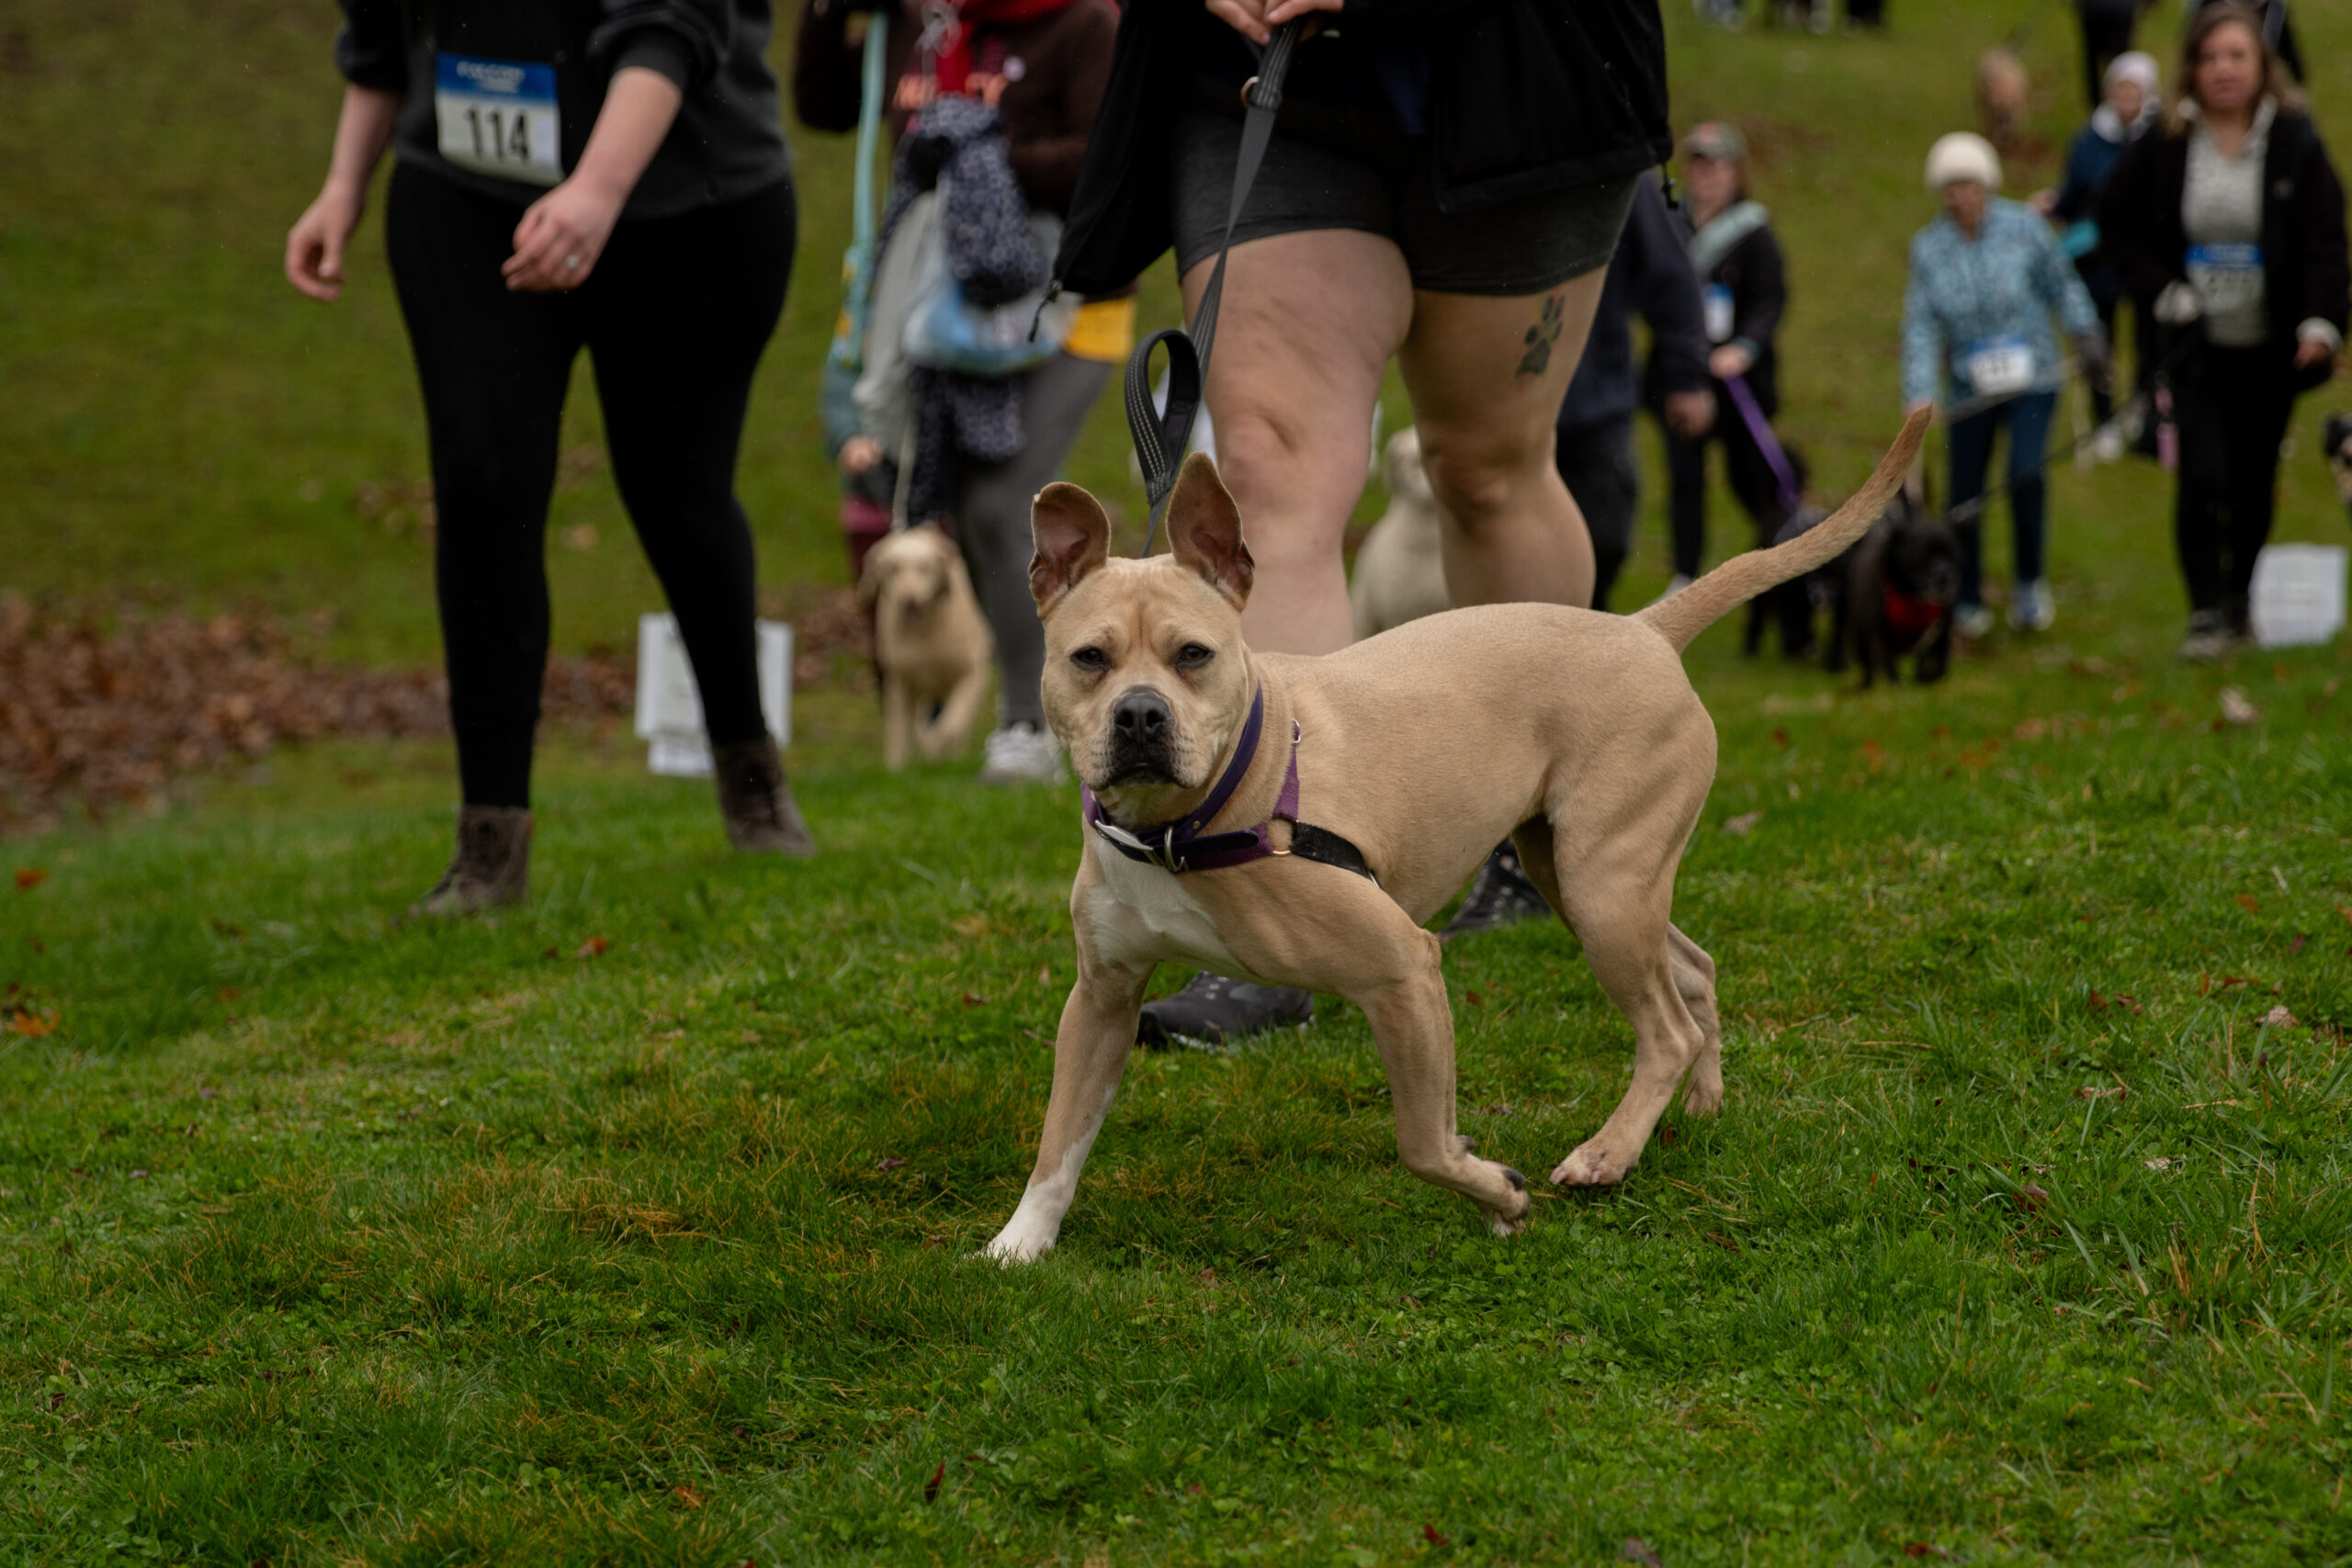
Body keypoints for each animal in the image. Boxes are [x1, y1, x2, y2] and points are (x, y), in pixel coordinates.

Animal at [856, 523, 993, 769]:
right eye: (892, 568)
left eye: (925, 567)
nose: (908, 601)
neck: (925, 632)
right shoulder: (900, 686)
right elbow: (901, 736)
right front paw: (899, 768)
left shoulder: (973, 676)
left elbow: (951, 726)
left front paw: (939, 749)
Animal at [1785, 490, 1960, 687]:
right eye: (1921, 555)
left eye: (1952, 554)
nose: (1944, 576)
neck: (1913, 599)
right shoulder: (1879, 632)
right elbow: (1890, 667)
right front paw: (1897, 686)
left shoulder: (1940, 633)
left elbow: (1936, 666)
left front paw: (1925, 681)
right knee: (1861, 658)